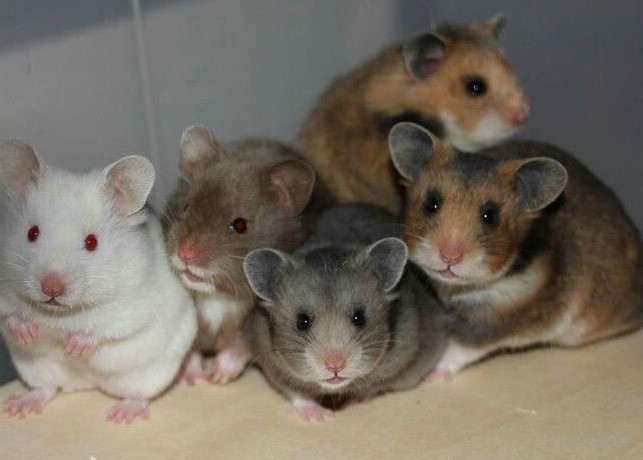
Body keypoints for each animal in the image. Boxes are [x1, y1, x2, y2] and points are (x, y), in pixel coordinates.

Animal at [0, 140, 197, 423]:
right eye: (32, 232)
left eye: (91, 242)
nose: (51, 288)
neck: (60, 315)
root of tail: (86, 384)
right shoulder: (2, 294)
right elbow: (9, 316)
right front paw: (28, 333)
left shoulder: (134, 307)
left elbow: (103, 328)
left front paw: (73, 348)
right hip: (34, 368)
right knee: (47, 388)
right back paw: (18, 407)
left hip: (152, 373)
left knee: (141, 395)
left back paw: (121, 415)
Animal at [162, 126, 316, 384]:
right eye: (186, 207)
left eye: (240, 225)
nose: (185, 253)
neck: (218, 295)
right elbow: (189, 349)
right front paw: (194, 378)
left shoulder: (252, 325)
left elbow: (239, 348)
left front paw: (217, 377)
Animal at [243, 204, 446, 422]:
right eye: (302, 322)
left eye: (359, 318)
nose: (335, 366)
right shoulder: (272, 364)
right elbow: (298, 392)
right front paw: (321, 417)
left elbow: (372, 387)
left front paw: (348, 402)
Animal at [388, 122, 643, 378]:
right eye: (432, 203)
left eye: (490, 216)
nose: (449, 256)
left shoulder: (499, 320)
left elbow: (460, 346)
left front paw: (431, 376)